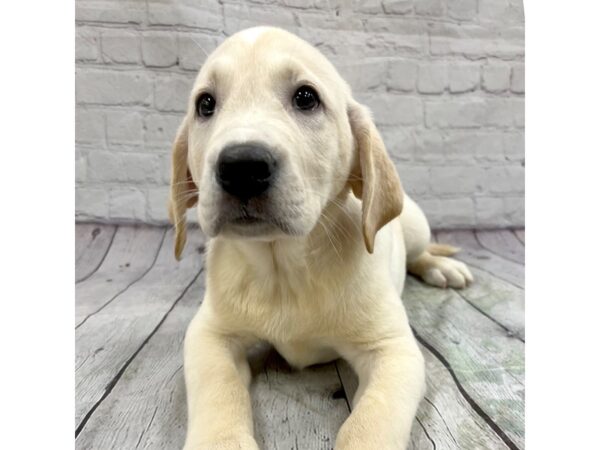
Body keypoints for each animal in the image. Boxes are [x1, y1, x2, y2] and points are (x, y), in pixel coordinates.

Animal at [169, 25, 474, 450]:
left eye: (306, 98)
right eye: (206, 104)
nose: (242, 166)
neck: (285, 269)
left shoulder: (393, 351)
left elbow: (369, 426)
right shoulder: (209, 334)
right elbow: (218, 390)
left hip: (414, 224)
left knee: (420, 252)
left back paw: (442, 267)